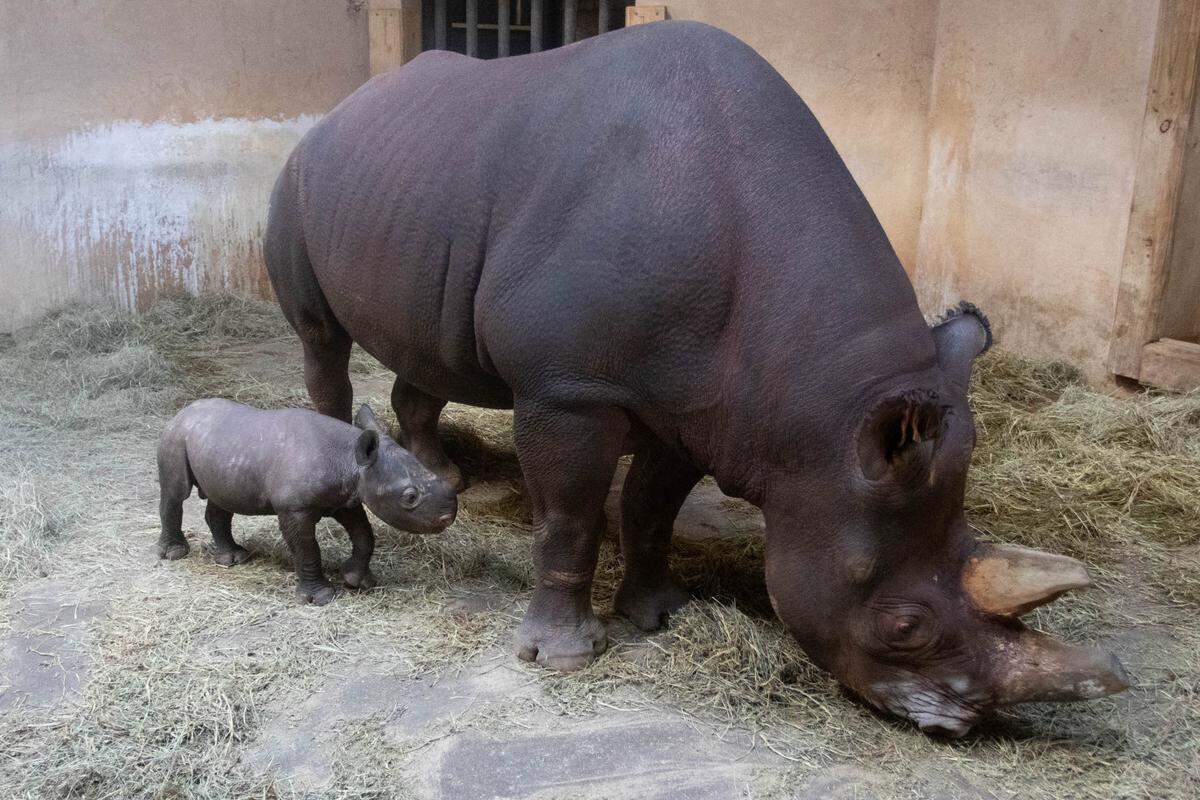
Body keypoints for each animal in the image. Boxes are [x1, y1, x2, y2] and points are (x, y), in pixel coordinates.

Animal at [263, 21, 1128, 735]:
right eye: (905, 627)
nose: (958, 725)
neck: (823, 406)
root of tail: (336, 113)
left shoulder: (708, 401)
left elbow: (650, 509)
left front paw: (659, 615)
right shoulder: (570, 389)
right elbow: (570, 517)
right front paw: (566, 657)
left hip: (411, 189)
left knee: (425, 350)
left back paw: (448, 479)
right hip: (297, 182)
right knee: (322, 340)